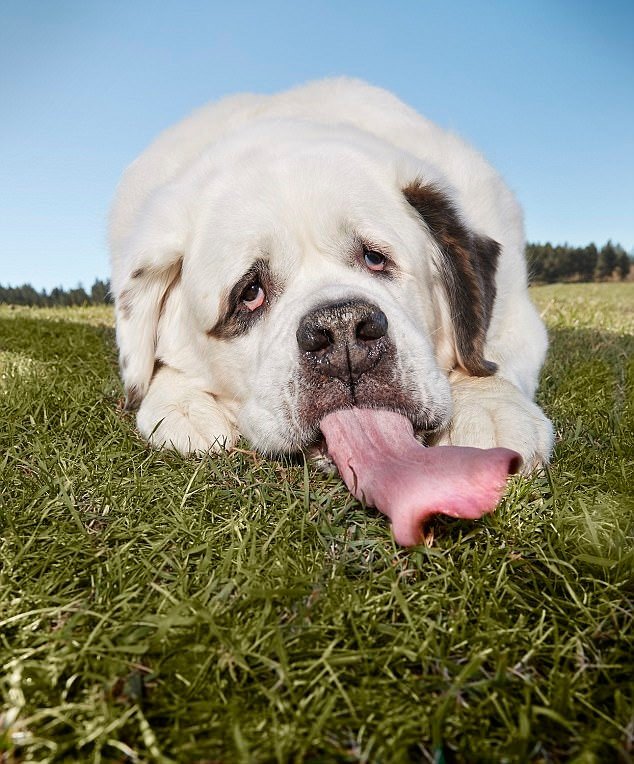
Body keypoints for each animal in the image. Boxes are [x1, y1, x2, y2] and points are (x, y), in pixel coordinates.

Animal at [110, 77, 552, 472]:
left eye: (375, 258)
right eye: (250, 293)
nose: (341, 330)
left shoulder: (516, 309)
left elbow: (490, 353)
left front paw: (489, 409)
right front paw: (181, 404)